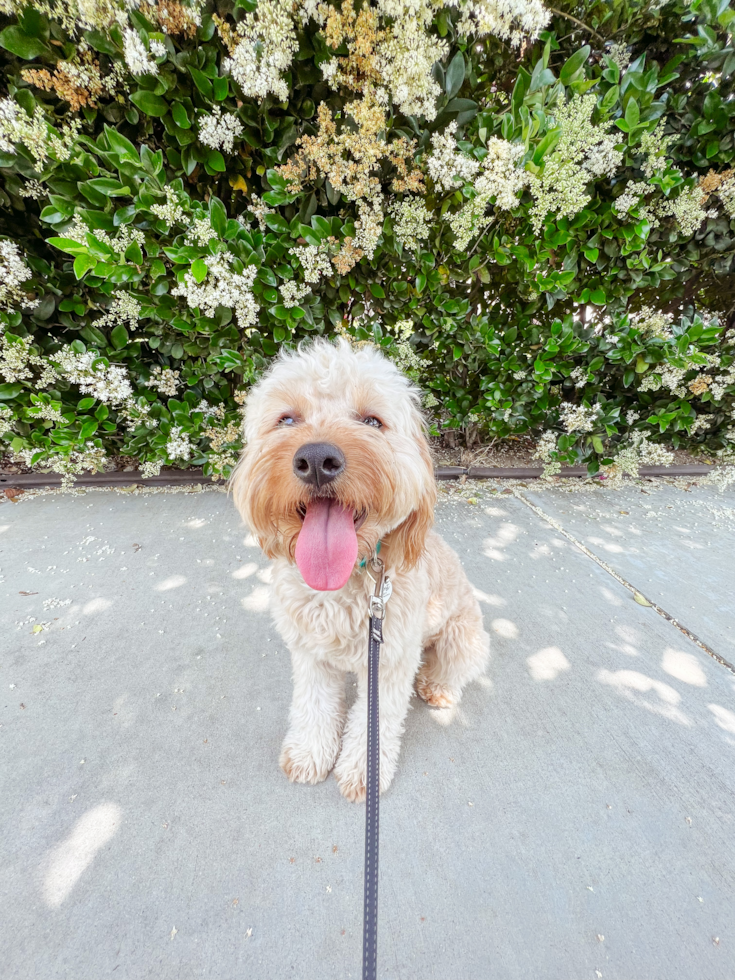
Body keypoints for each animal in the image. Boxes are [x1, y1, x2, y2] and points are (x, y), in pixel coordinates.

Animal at [233, 340, 492, 800]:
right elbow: (314, 706)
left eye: (372, 421)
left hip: (462, 637)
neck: (346, 579)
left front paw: (362, 771)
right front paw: (310, 754)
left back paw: (438, 687)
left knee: (454, 667)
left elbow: (376, 722)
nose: (317, 458)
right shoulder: (310, 654)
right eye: (287, 419)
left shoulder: (389, 662)